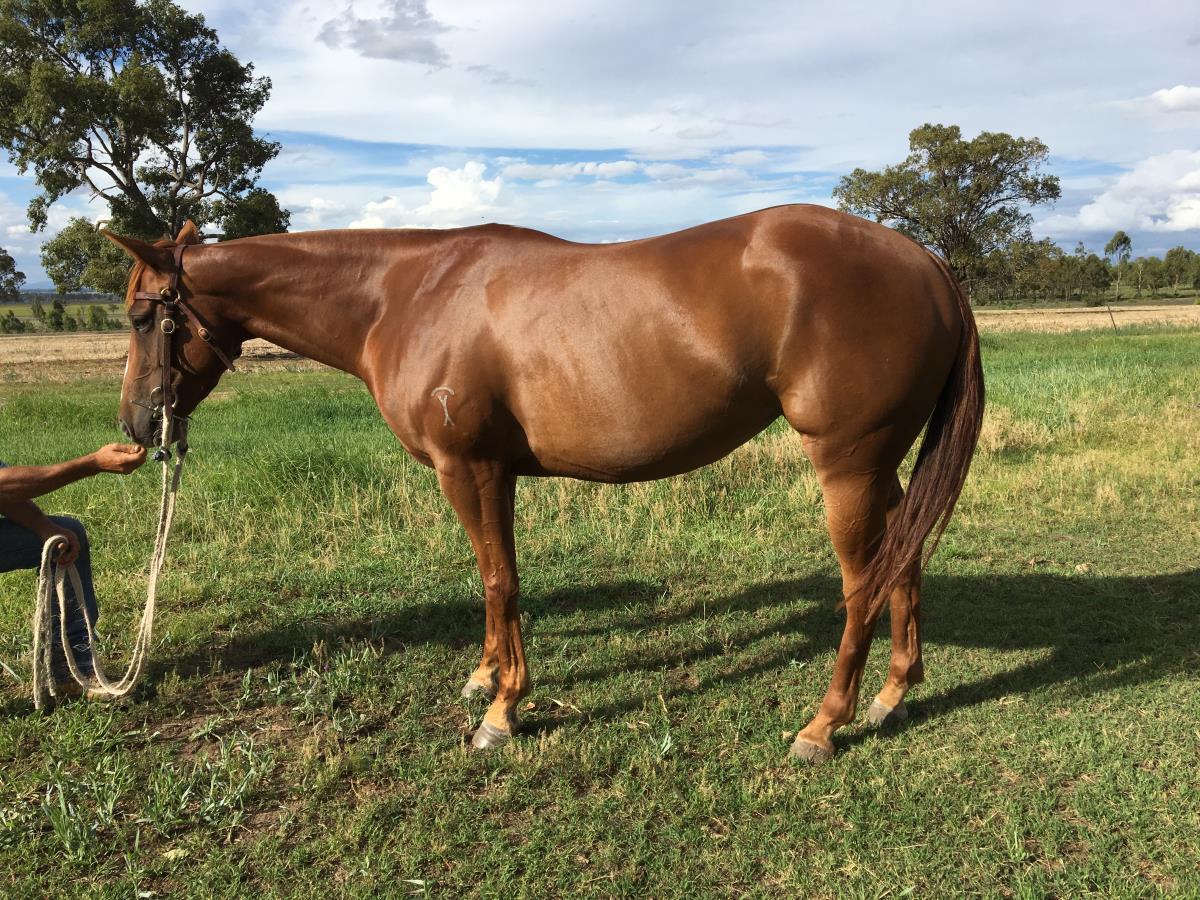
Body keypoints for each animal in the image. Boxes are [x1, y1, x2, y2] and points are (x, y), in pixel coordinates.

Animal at [106, 204, 984, 763]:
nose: (139, 426)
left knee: (864, 584)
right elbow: (492, 578)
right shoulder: (493, 475)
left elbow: (501, 581)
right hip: (882, 470)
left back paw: (823, 726)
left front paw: (502, 712)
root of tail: (926, 262)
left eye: (145, 317)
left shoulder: (470, 469)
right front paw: (485, 677)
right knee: (904, 561)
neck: (406, 295)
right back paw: (894, 694)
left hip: (848, 467)